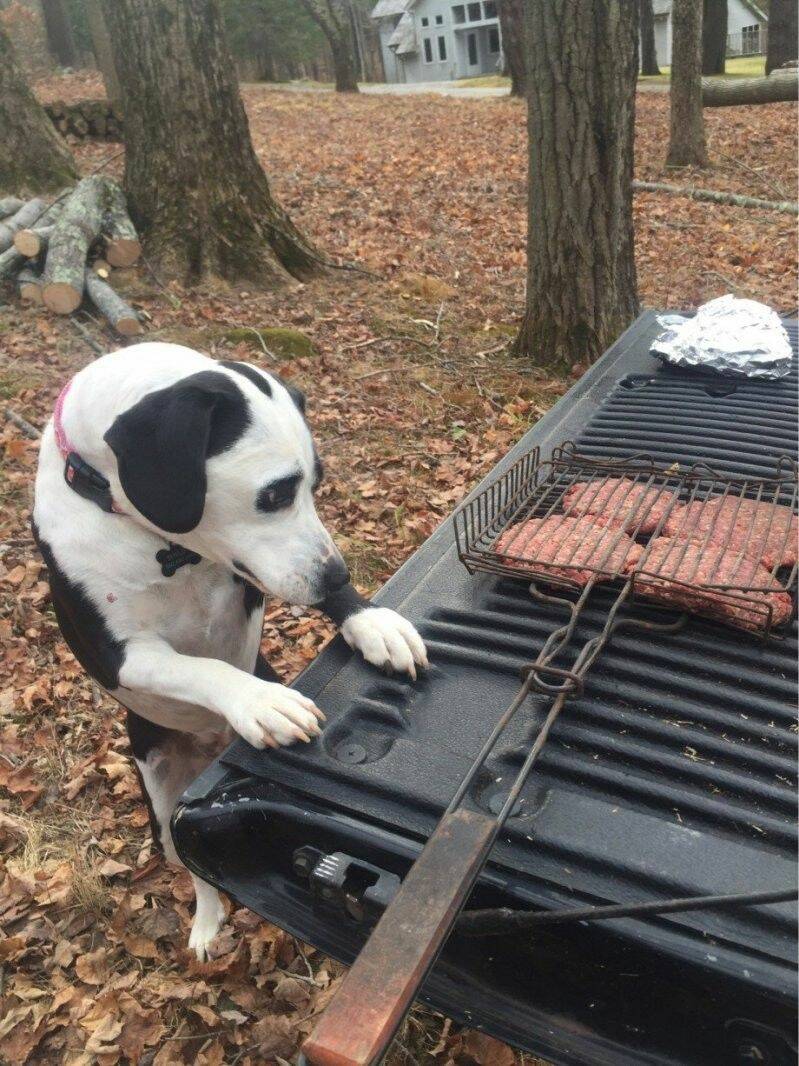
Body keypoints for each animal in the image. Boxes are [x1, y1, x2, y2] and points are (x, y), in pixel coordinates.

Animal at [33, 345, 428, 963]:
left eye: (316, 483)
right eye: (275, 494)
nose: (339, 573)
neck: (163, 546)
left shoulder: (261, 579)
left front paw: (372, 622)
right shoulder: (120, 655)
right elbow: (201, 667)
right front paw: (261, 702)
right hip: (166, 809)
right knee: (193, 861)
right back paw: (207, 923)